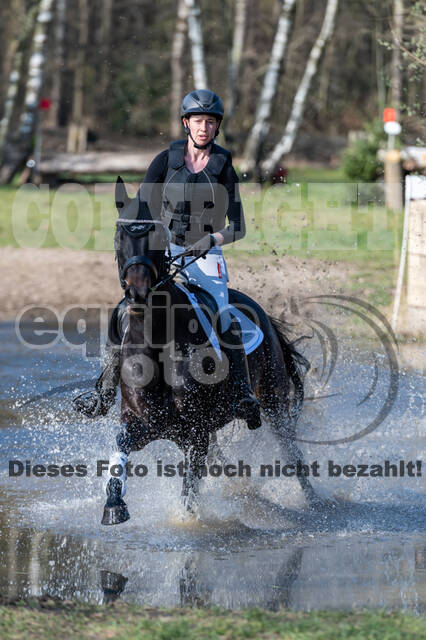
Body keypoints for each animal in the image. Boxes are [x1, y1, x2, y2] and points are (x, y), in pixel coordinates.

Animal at [101, 176, 322, 524]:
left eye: (157, 237)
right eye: (118, 236)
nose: (137, 294)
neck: (159, 340)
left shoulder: (196, 432)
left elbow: (189, 490)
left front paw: (187, 523)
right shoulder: (144, 423)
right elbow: (121, 443)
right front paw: (114, 504)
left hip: (273, 401)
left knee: (291, 450)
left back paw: (314, 502)